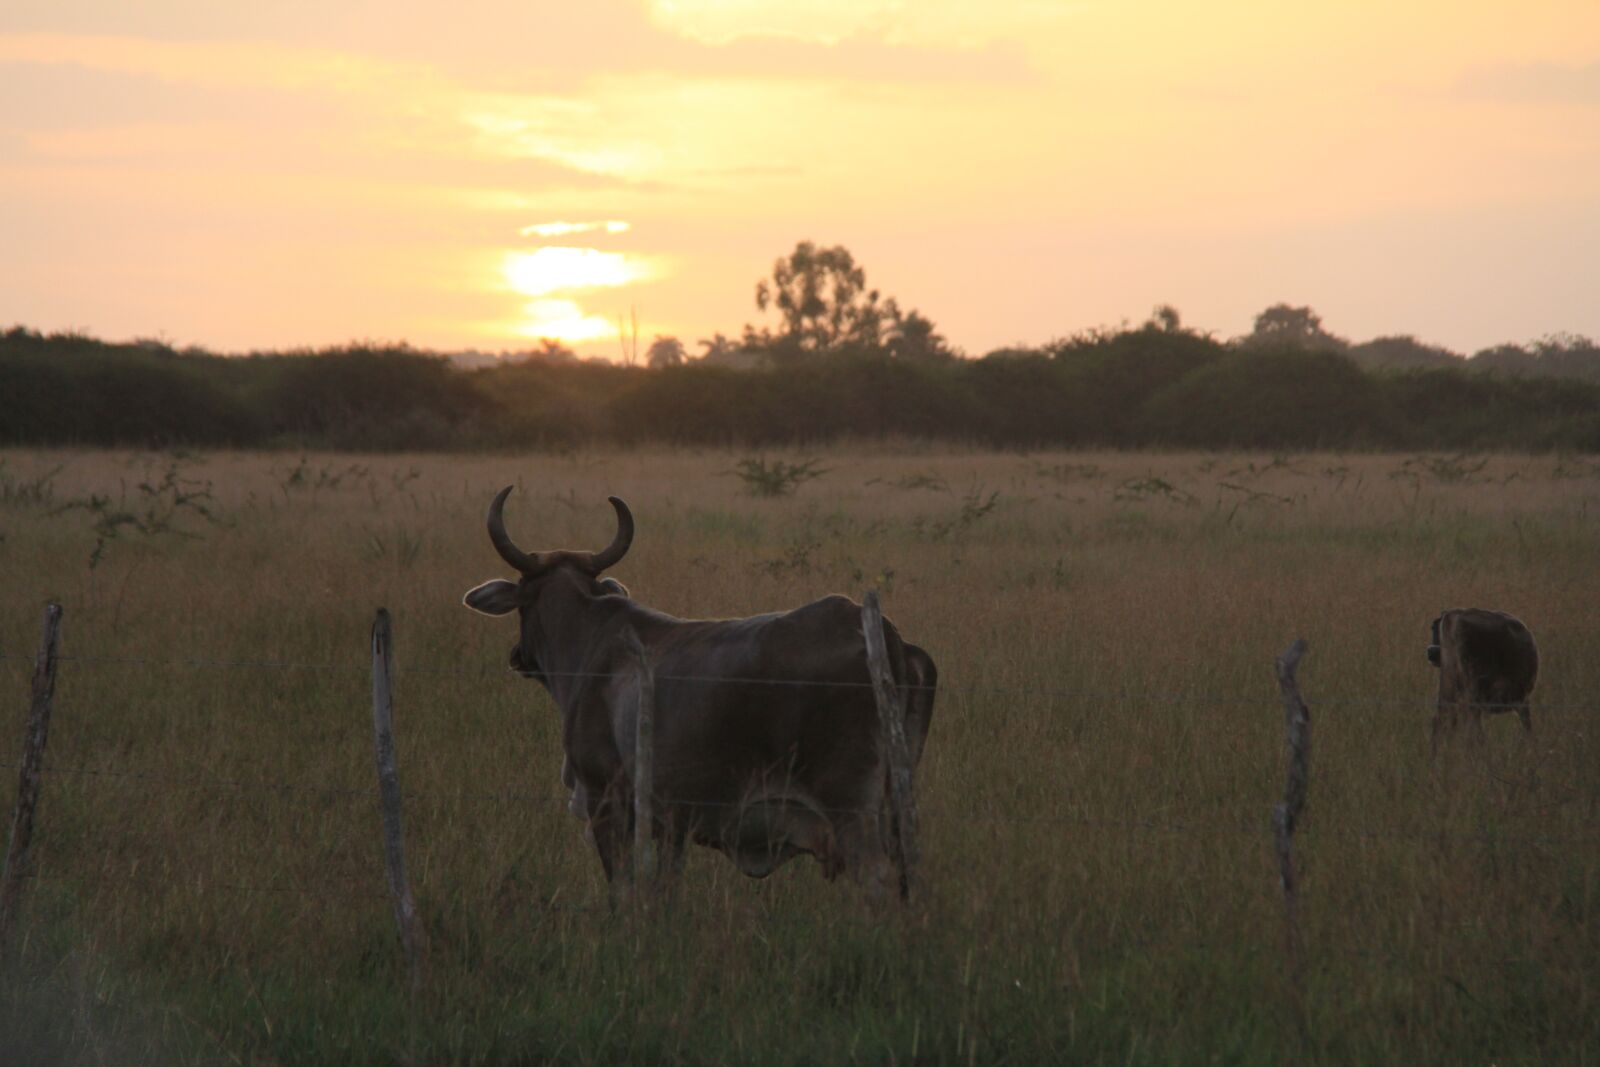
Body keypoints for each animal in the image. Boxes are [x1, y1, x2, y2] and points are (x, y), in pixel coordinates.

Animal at [462, 487, 936, 898]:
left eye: (521, 604)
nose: (517, 657)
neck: (592, 635)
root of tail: (884, 635)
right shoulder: (671, 824)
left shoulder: (605, 802)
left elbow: (624, 890)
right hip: (899, 806)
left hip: (850, 809)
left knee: (876, 877)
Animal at [1426, 608, 1538, 753]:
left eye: (1434, 629)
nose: (1431, 651)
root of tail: (1456, 614)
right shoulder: (1522, 701)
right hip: (1472, 694)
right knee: (1471, 730)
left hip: (1448, 689)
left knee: (1441, 721)